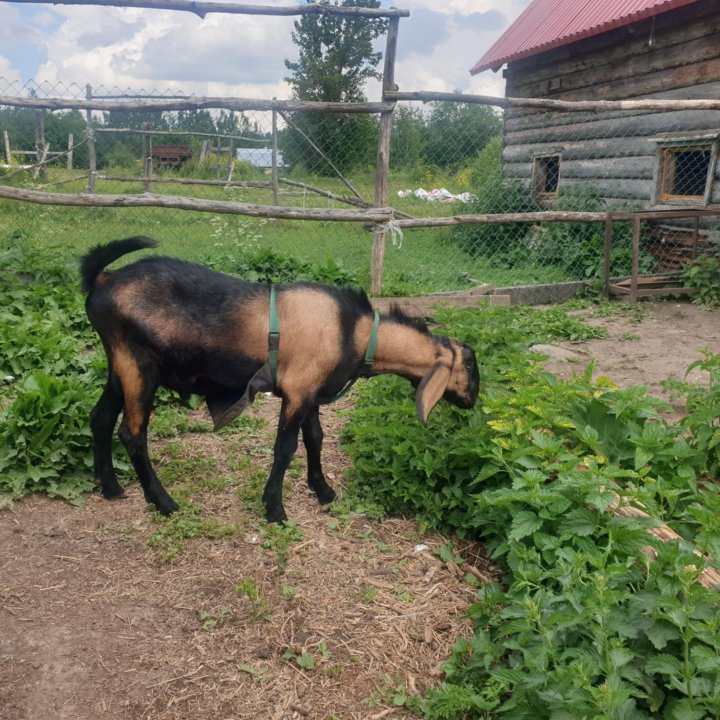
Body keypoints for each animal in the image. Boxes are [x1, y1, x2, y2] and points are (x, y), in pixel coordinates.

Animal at [80, 238, 478, 524]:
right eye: (472, 366)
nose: (473, 402)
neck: (356, 331)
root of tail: (103, 280)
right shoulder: (298, 390)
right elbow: (285, 449)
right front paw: (275, 509)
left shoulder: (312, 391)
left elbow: (315, 439)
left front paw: (323, 491)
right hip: (138, 365)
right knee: (132, 434)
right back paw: (164, 502)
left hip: (119, 366)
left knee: (100, 419)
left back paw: (111, 487)